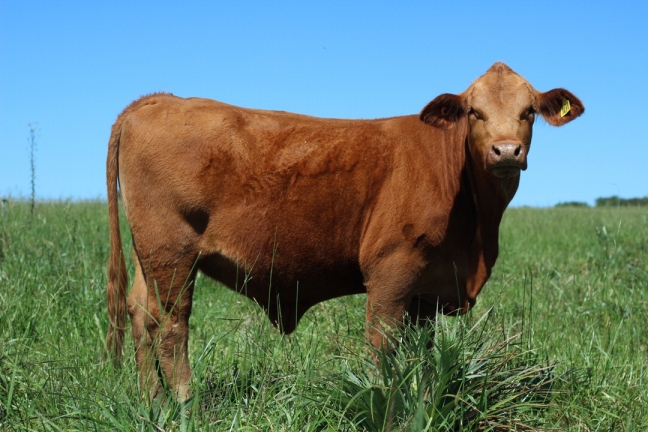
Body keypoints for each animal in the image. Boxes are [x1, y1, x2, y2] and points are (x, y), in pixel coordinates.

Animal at [106, 62, 584, 400]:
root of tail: (158, 100)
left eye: (528, 112)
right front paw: (381, 401)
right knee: (171, 326)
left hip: (149, 255)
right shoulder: (391, 269)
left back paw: (152, 404)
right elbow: (382, 345)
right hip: (173, 254)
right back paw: (185, 406)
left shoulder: (429, 288)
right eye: (473, 112)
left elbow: (423, 353)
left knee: (140, 315)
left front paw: (422, 395)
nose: (506, 151)